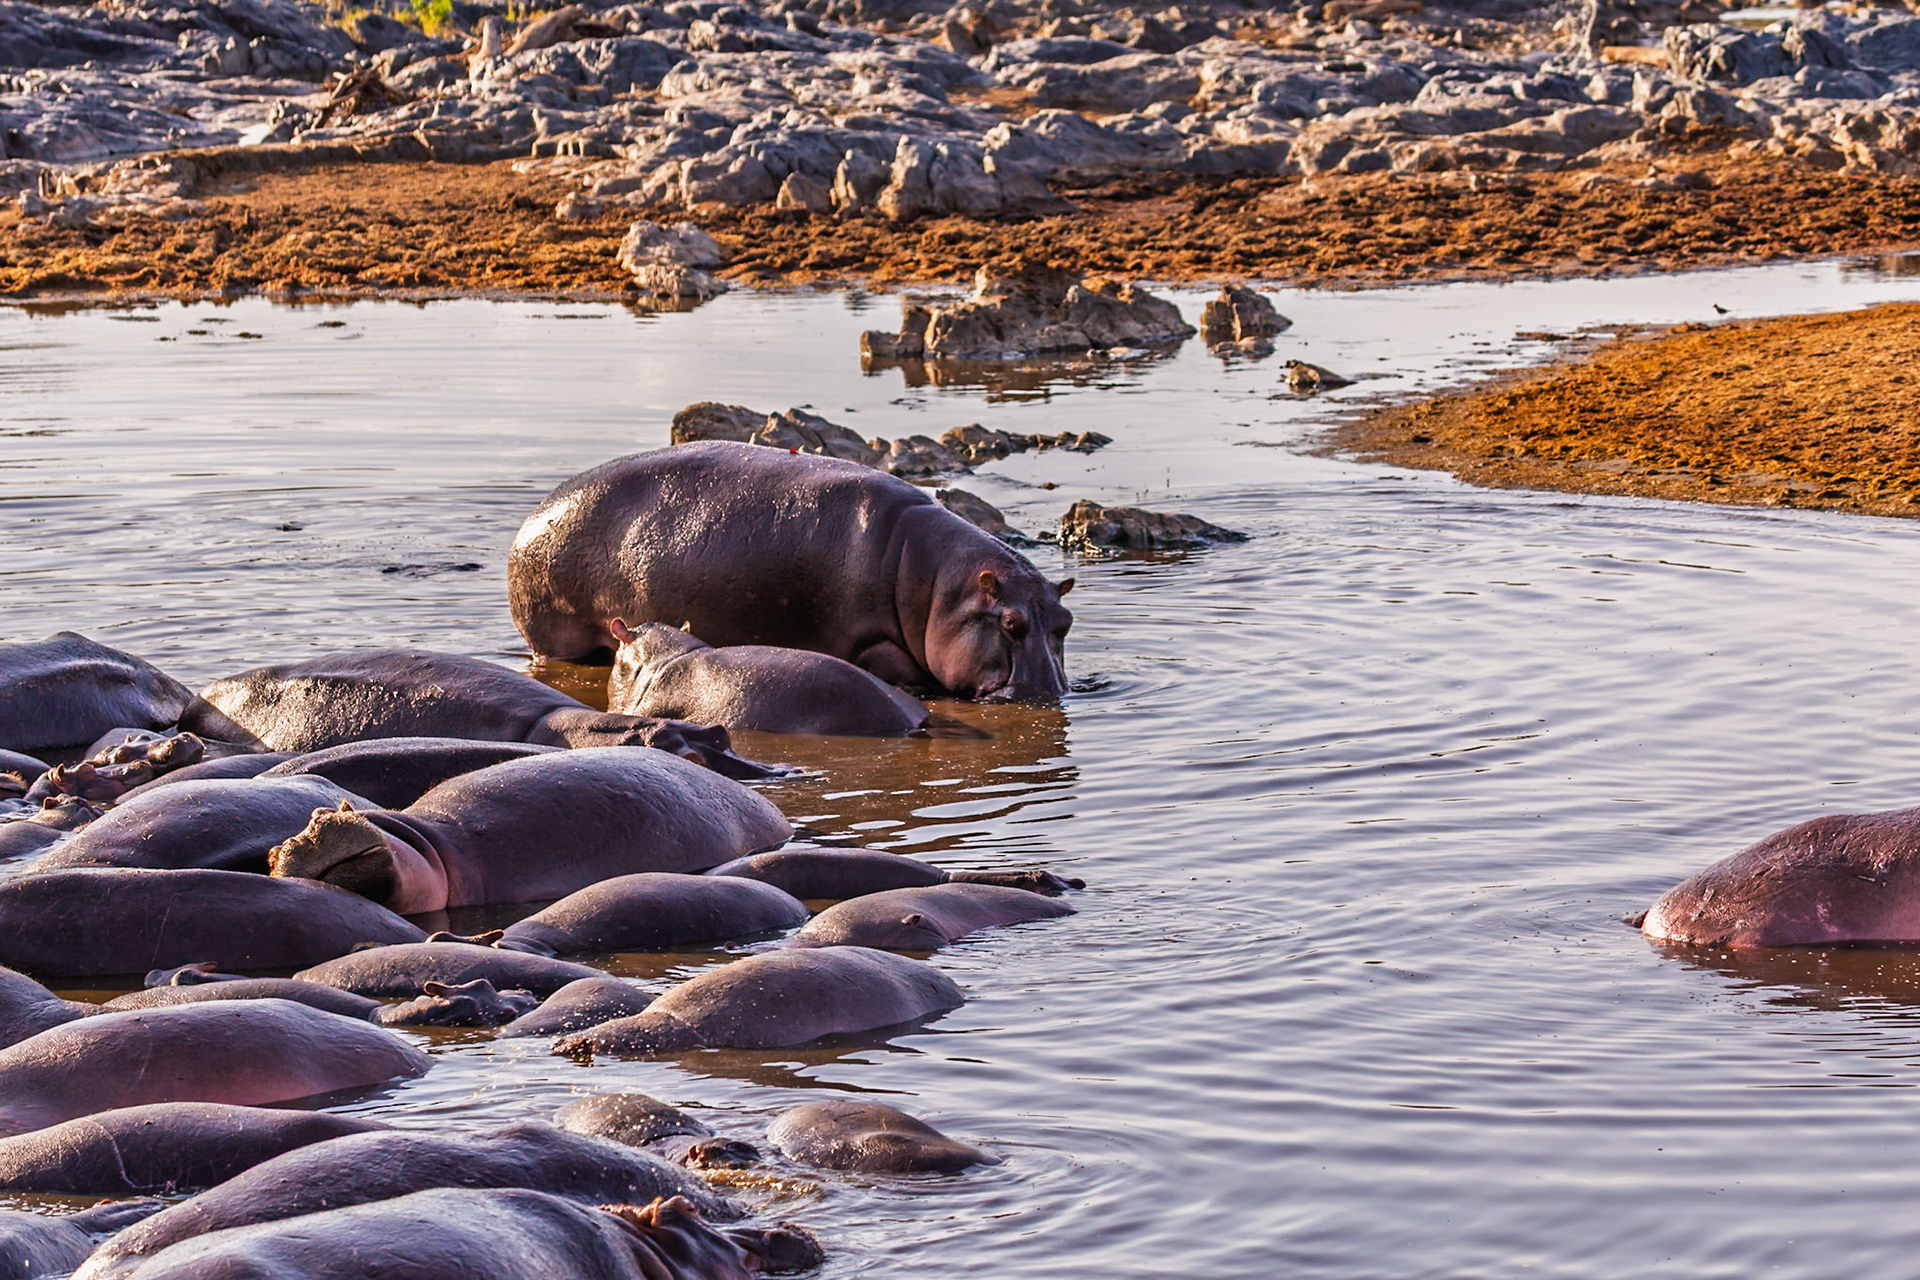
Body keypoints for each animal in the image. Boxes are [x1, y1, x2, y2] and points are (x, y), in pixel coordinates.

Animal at [507, 442, 1074, 701]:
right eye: (1010, 624)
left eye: (1065, 623)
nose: (1048, 693)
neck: (941, 589)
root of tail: (527, 525)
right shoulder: (873, 643)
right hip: (555, 638)